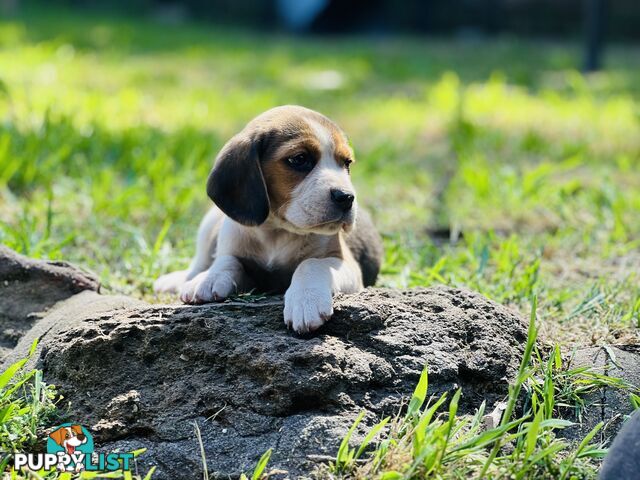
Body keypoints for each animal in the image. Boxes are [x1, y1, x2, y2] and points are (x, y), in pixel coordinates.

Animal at [154, 104, 384, 334]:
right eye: (299, 159)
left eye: (347, 163)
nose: (347, 197)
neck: (278, 231)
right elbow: (227, 260)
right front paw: (209, 279)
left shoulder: (347, 265)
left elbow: (311, 264)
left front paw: (306, 300)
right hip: (209, 221)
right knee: (199, 263)